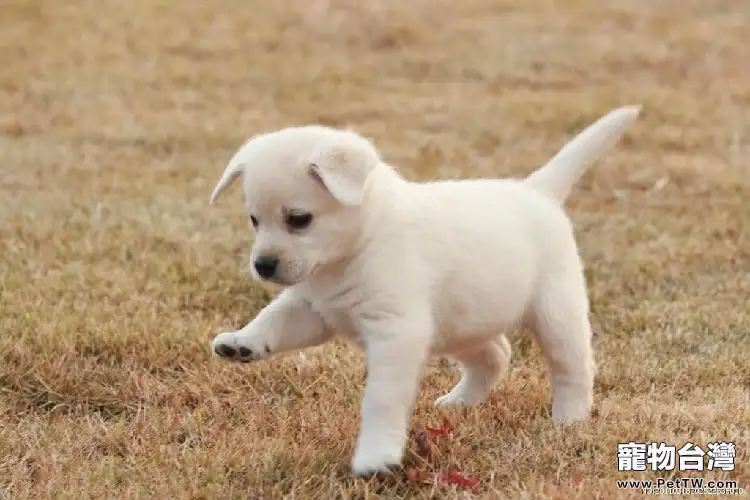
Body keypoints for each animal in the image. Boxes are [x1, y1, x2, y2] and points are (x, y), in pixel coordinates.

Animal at [206, 106, 640, 476]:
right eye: (254, 219)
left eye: (299, 219)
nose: (263, 265)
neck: (361, 243)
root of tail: (536, 191)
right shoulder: (314, 310)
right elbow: (272, 320)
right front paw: (243, 343)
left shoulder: (395, 333)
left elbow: (380, 399)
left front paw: (376, 456)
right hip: (461, 324)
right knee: (496, 355)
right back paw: (461, 402)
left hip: (555, 314)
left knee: (573, 369)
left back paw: (569, 420)